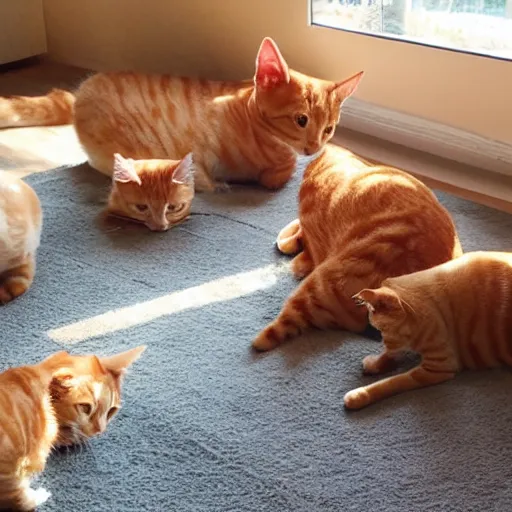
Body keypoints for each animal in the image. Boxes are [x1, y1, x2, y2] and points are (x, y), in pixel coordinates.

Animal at [0, 346, 146, 510]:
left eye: (111, 411)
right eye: (85, 407)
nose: (101, 429)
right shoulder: (7, 472)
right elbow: (19, 497)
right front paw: (36, 497)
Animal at [344, 250, 512, 410]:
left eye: (381, 330)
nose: (382, 341)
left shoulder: (437, 367)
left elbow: (392, 381)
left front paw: (360, 395)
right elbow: (389, 355)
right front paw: (376, 363)